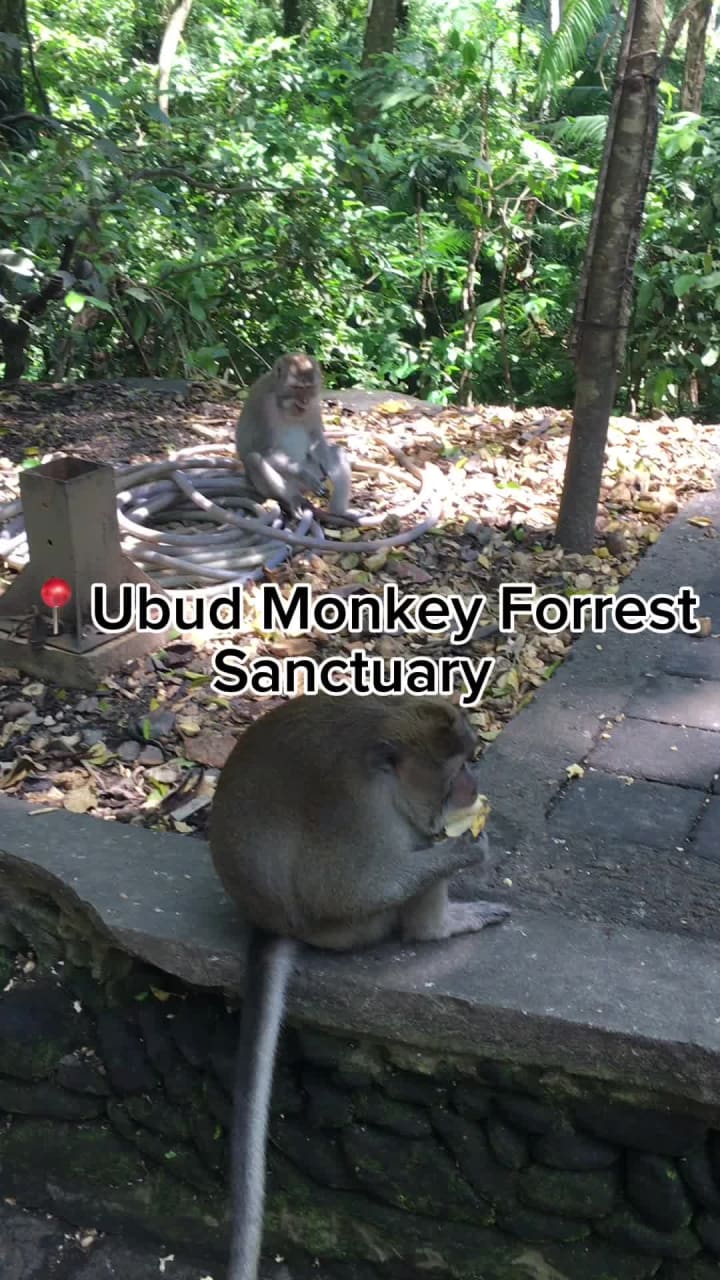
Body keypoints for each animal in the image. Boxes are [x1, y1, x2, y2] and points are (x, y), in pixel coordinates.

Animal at [208, 693, 511, 1280]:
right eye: (455, 768)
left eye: (468, 760)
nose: (474, 780)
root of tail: (267, 922)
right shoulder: (357, 813)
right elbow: (347, 888)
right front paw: (468, 850)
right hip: (347, 930)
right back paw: (438, 925)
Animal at [235, 354, 352, 520]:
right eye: (297, 388)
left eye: (308, 388)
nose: (304, 401)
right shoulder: (264, 405)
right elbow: (266, 450)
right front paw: (304, 475)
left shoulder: (314, 403)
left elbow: (316, 436)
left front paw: (327, 467)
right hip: (270, 486)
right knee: (254, 459)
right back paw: (293, 499)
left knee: (336, 451)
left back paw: (340, 512)